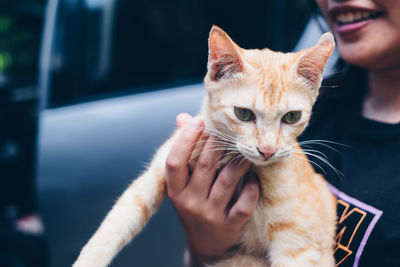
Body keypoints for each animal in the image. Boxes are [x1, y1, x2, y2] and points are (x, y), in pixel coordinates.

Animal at [72, 25, 338, 267]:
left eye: (291, 117)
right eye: (243, 113)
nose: (267, 150)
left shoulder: (298, 245)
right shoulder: (154, 174)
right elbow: (118, 219)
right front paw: (89, 259)